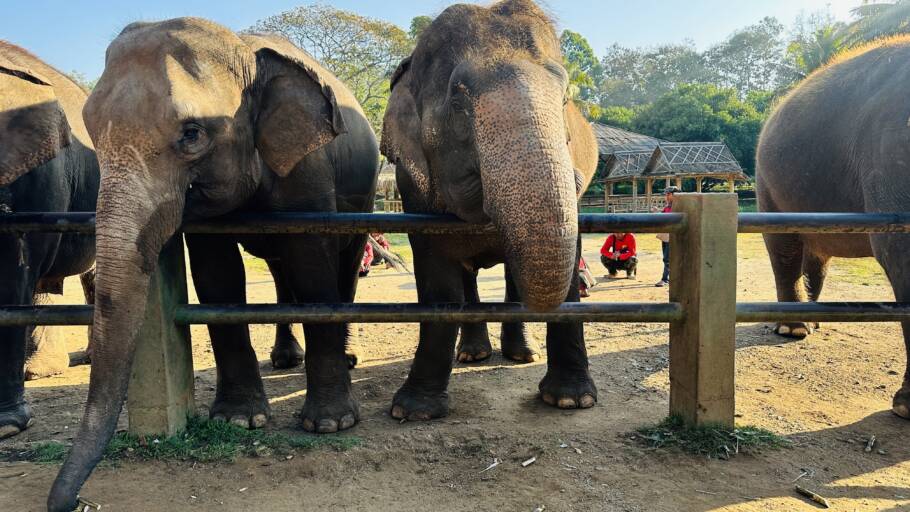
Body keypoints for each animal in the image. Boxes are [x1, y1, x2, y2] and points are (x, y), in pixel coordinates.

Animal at [48, 18, 379, 511]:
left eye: (191, 134)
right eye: (89, 125)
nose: (74, 503)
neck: (244, 51)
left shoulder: (308, 165)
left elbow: (312, 265)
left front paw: (329, 424)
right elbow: (217, 275)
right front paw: (237, 421)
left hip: (365, 192)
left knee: (342, 265)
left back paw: (347, 357)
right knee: (280, 273)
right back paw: (284, 360)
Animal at [380, 0, 599, 421]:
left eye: (565, 98)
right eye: (457, 100)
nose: (579, 176)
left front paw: (571, 400)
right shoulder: (413, 191)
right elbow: (438, 283)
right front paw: (413, 411)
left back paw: (520, 354)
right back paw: (473, 354)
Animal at [756, 36, 910, 421]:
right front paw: (905, 408)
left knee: (816, 260)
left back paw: (813, 322)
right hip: (768, 186)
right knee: (785, 250)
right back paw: (794, 329)